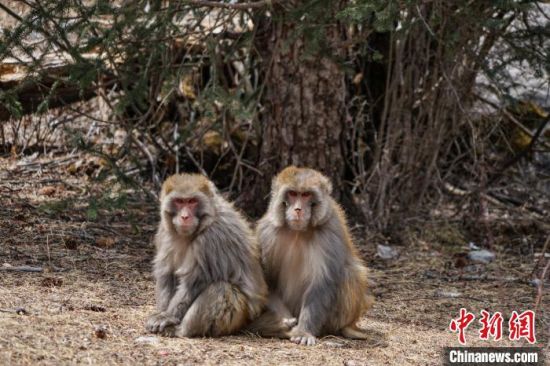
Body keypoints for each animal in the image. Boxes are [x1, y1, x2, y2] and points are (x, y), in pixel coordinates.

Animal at [146, 174, 268, 338]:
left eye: (192, 201)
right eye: (179, 201)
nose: (185, 216)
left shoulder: (212, 238)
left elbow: (195, 282)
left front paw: (168, 316)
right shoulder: (164, 231)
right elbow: (167, 274)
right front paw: (162, 313)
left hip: (237, 318)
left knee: (222, 289)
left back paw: (181, 330)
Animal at [251, 167, 376, 344]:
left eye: (306, 195)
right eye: (293, 193)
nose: (298, 209)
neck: (297, 232)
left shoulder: (330, 231)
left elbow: (322, 282)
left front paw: (303, 331)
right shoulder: (266, 233)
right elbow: (268, 281)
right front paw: (283, 321)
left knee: (349, 273)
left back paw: (346, 329)